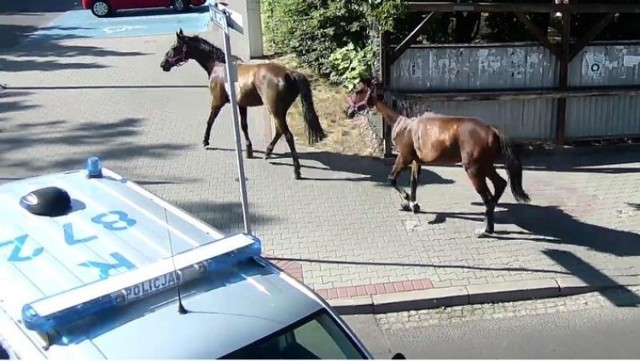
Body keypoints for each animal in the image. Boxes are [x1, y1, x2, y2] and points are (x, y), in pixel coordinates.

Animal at [159, 29, 328, 179]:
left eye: (174, 47)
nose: (163, 64)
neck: (220, 66)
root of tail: (289, 73)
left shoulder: (217, 102)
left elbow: (210, 120)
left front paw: (205, 141)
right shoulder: (241, 105)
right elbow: (244, 126)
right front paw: (249, 150)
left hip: (275, 110)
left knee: (287, 135)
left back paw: (296, 170)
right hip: (279, 111)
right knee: (279, 131)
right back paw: (267, 153)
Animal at [344, 79, 528, 235]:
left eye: (359, 90)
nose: (347, 111)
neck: (406, 123)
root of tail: (493, 130)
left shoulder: (404, 157)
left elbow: (392, 179)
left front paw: (407, 200)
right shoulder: (416, 161)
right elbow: (414, 183)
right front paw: (412, 204)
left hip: (474, 170)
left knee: (488, 196)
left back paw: (486, 229)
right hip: (486, 166)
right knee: (500, 184)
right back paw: (488, 218)